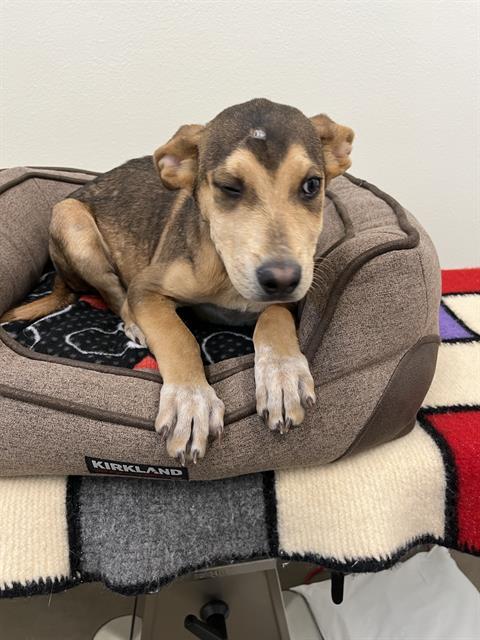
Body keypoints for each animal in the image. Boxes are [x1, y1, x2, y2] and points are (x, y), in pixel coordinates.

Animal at [0, 96, 352, 464]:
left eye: (312, 185)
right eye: (229, 186)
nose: (282, 279)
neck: (226, 274)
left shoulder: (288, 297)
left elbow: (273, 319)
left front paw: (282, 375)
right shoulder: (147, 287)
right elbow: (178, 337)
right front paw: (190, 402)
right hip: (71, 220)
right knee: (114, 294)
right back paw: (135, 326)